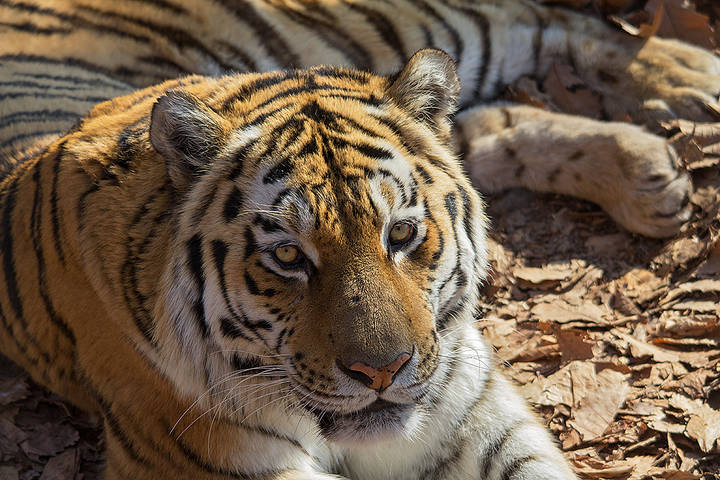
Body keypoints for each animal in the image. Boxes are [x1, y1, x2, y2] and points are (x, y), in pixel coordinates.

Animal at [0, 0, 719, 479]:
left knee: (551, 22)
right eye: (288, 256)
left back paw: (694, 83)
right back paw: (653, 172)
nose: (382, 372)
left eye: (401, 234)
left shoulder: (475, 413)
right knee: (492, 118)